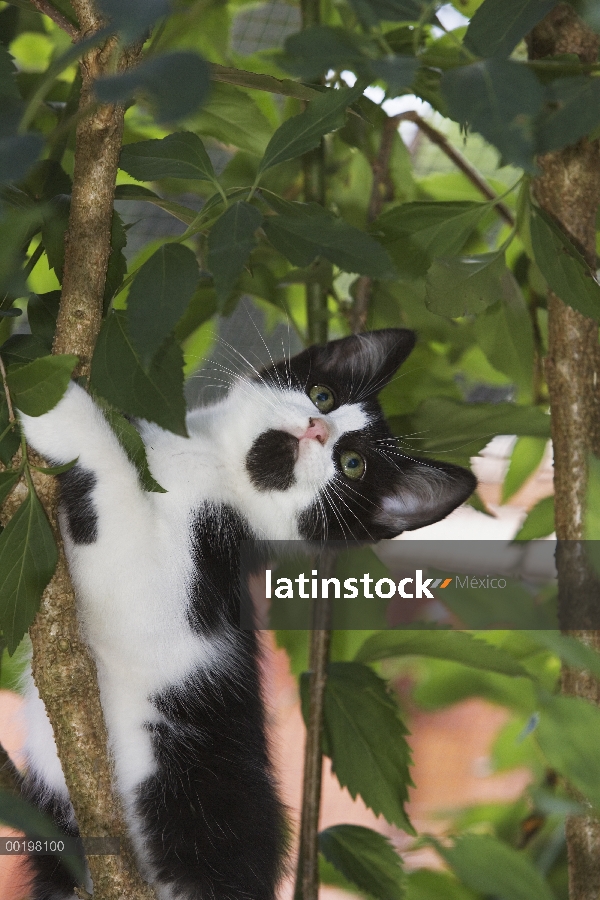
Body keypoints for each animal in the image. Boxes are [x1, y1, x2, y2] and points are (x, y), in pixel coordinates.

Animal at [18, 330, 476, 900]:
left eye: (353, 466)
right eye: (322, 394)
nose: (317, 428)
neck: (210, 464)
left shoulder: (181, 587)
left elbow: (121, 502)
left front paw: (55, 399)